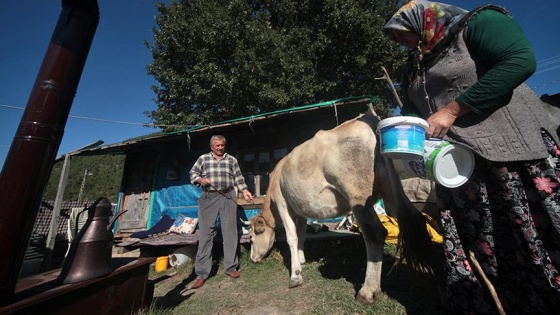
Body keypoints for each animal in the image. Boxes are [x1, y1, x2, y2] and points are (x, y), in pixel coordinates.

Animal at [248, 107, 442, 306]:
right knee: (416, 219)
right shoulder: (300, 209)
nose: (252, 259)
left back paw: (367, 291)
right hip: (390, 186)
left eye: (252, 238)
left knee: (375, 233)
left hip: (357, 194)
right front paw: (301, 261)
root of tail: (368, 117)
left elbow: (292, 237)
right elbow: (301, 234)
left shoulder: (282, 203)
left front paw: (295, 276)